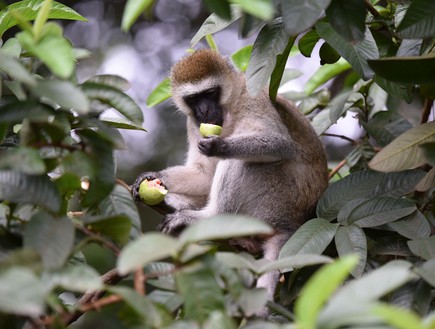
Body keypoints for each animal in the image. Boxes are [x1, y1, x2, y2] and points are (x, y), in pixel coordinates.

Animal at [131, 48, 328, 310]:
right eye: (194, 99)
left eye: (210, 93)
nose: (204, 111)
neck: (231, 106)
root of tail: (292, 223)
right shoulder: (192, 123)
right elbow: (204, 175)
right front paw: (154, 177)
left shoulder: (253, 98)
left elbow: (280, 144)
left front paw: (220, 146)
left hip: (276, 201)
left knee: (239, 161)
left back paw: (207, 216)